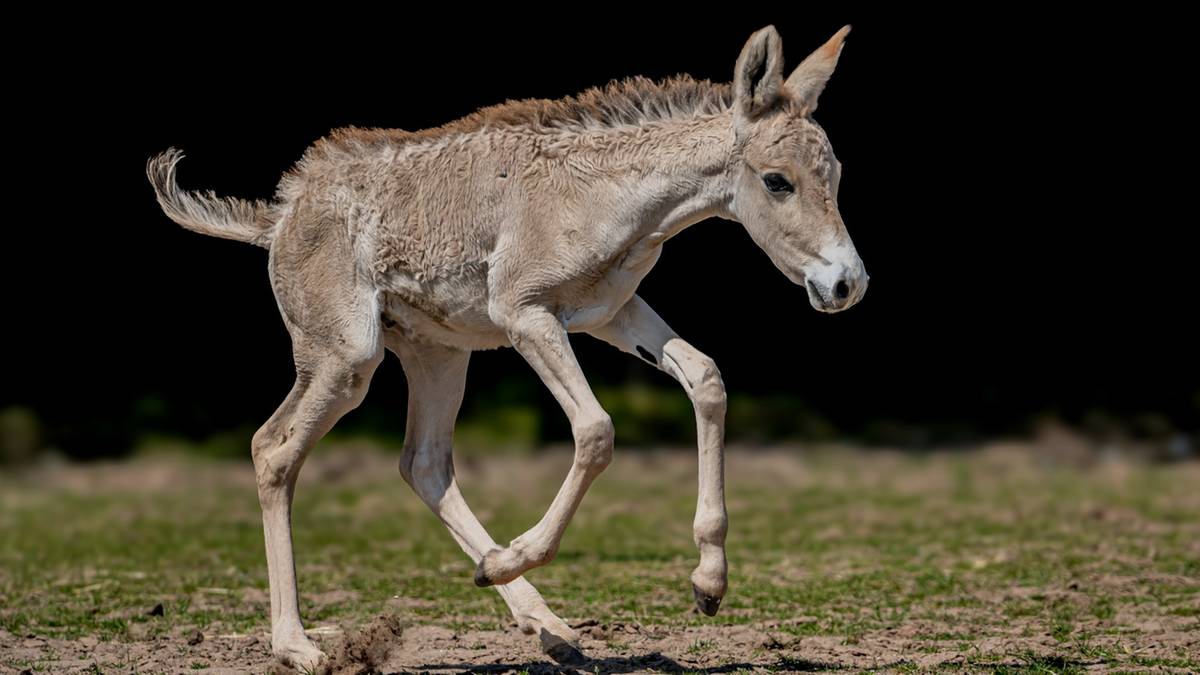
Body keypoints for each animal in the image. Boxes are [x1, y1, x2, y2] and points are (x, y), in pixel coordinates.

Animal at [147, 24, 864, 667]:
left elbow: (706, 377)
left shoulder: (611, 312)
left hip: (439, 354)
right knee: (273, 449)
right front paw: (525, 555)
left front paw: (709, 584)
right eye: (777, 180)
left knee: (423, 464)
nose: (846, 284)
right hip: (345, 359)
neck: (610, 193)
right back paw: (298, 645)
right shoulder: (526, 316)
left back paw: (543, 619)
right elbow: (596, 430)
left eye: (834, 172)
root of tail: (278, 217)